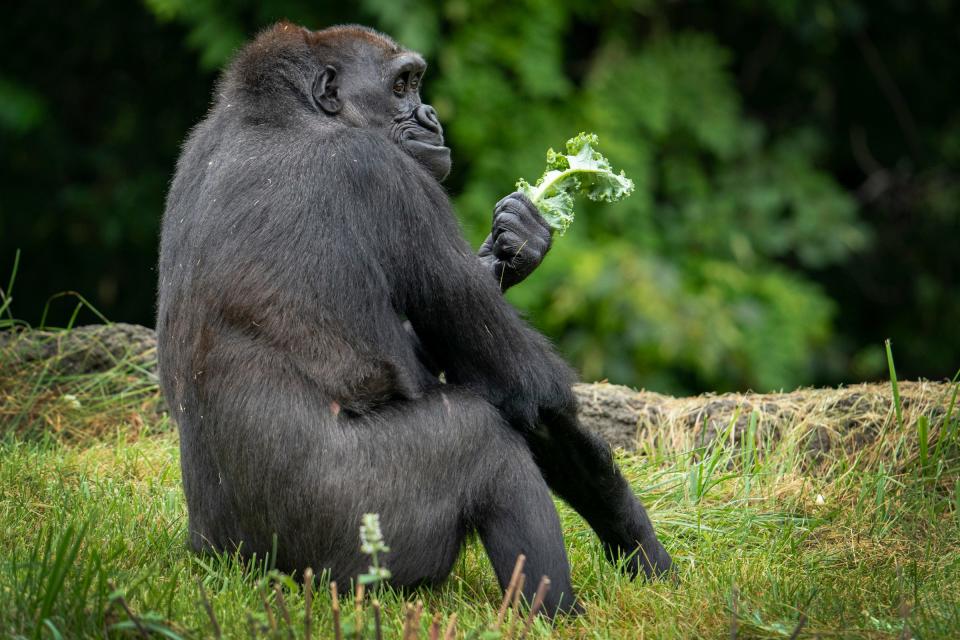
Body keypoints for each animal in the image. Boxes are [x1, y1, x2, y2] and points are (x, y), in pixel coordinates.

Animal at [156, 21, 668, 616]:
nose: (430, 115)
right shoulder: (387, 175)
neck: (282, 113)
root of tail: (234, 569)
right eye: (401, 86)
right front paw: (638, 542)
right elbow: (528, 391)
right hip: (346, 554)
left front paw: (513, 246)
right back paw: (554, 613)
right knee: (484, 441)